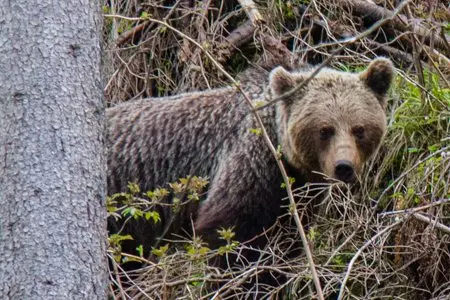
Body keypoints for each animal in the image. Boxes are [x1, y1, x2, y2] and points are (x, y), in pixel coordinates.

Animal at [106, 58, 394, 255]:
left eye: (359, 129)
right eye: (325, 130)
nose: (343, 167)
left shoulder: (298, 193)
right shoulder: (250, 163)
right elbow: (227, 230)